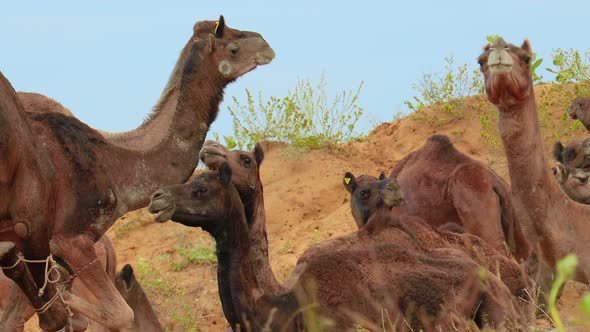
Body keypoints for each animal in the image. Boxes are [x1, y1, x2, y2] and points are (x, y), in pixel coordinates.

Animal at [0, 16, 276, 330]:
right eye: (232, 47)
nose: (266, 46)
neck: (115, 163)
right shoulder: (68, 239)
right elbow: (118, 313)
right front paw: (65, 301)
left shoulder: (44, 249)